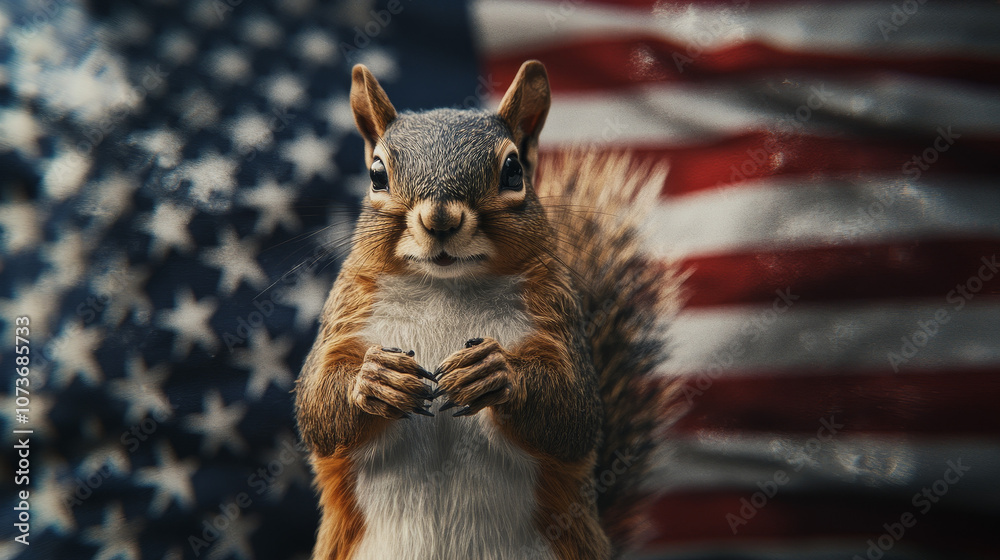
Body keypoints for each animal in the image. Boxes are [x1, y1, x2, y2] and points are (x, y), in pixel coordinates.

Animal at [294, 60, 682, 560]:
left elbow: (575, 413)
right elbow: (317, 405)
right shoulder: (344, 320)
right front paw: (374, 378)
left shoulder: (559, 321)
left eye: (513, 170)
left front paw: (495, 371)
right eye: (377, 174)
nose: (440, 219)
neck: (446, 289)